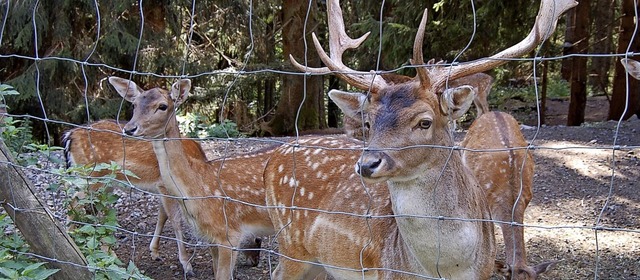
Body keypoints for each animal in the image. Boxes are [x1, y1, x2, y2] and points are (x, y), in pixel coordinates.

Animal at [110, 76, 276, 278]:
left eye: (163, 106)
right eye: (134, 105)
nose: (129, 128)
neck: (198, 186)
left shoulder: (229, 234)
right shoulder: (211, 237)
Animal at [264, 0, 576, 278]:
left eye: (424, 122)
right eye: (368, 122)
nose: (367, 164)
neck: (445, 270)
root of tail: (273, 158)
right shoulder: (387, 272)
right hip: (290, 245)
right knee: (277, 270)